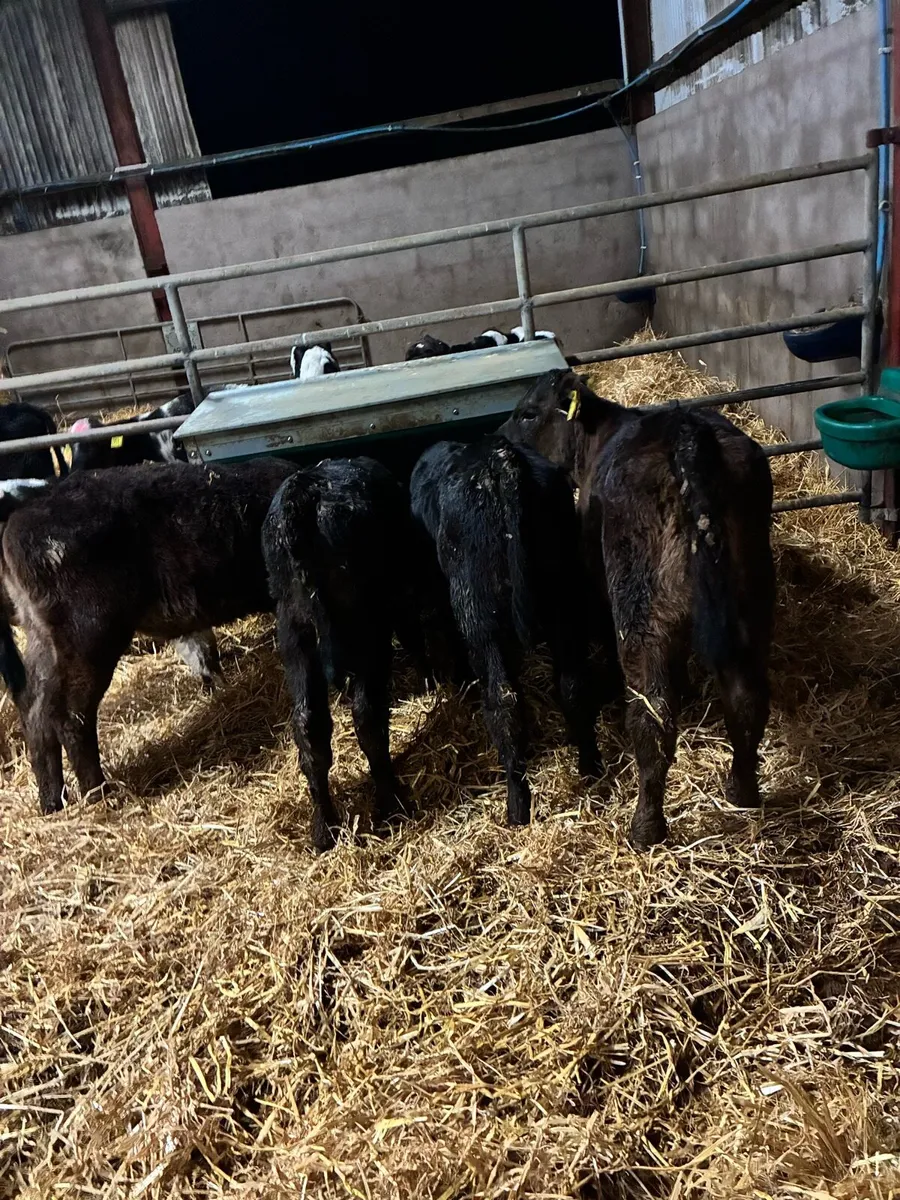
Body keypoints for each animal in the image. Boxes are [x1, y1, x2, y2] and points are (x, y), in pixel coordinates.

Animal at [0, 458, 296, 816]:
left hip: (45, 639)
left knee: (36, 712)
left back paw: (52, 802)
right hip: (86, 635)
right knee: (71, 716)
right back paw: (99, 794)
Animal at [263, 457, 424, 851]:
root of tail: (304, 493)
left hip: (295, 630)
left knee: (310, 727)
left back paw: (325, 828)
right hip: (368, 628)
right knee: (368, 716)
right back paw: (391, 802)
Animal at [409, 435, 600, 827]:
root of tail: (500, 461)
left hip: (479, 612)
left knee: (503, 698)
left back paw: (517, 806)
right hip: (564, 598)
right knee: (573, 683)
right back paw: (590, 771)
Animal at [499, 369, 774, 849]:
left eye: (528, 412)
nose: (499, 436)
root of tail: (687, 432)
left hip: (642, 609)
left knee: (653, 715)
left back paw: (645, 827)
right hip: (749, 600)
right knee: (746, 699)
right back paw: (742, 792)